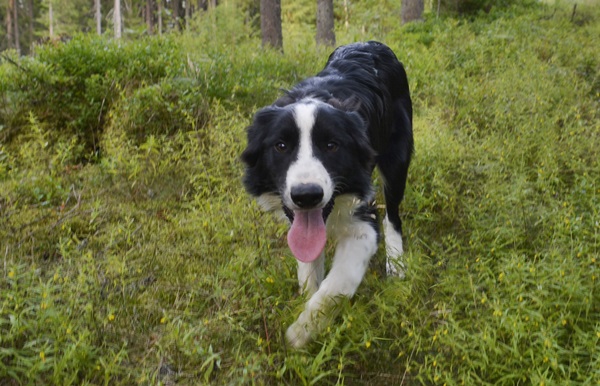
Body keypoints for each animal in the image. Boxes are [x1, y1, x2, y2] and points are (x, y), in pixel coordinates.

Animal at [239, 40, 412, 348]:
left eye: (332, 145)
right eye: (281, 146)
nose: (306, 195)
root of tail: (371, 43)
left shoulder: (363, 217)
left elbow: (338, 284)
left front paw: (301, 331)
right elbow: (308, 268)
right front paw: (306, 306)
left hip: (397, 156)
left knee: (393, 214)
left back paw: (396, 263)